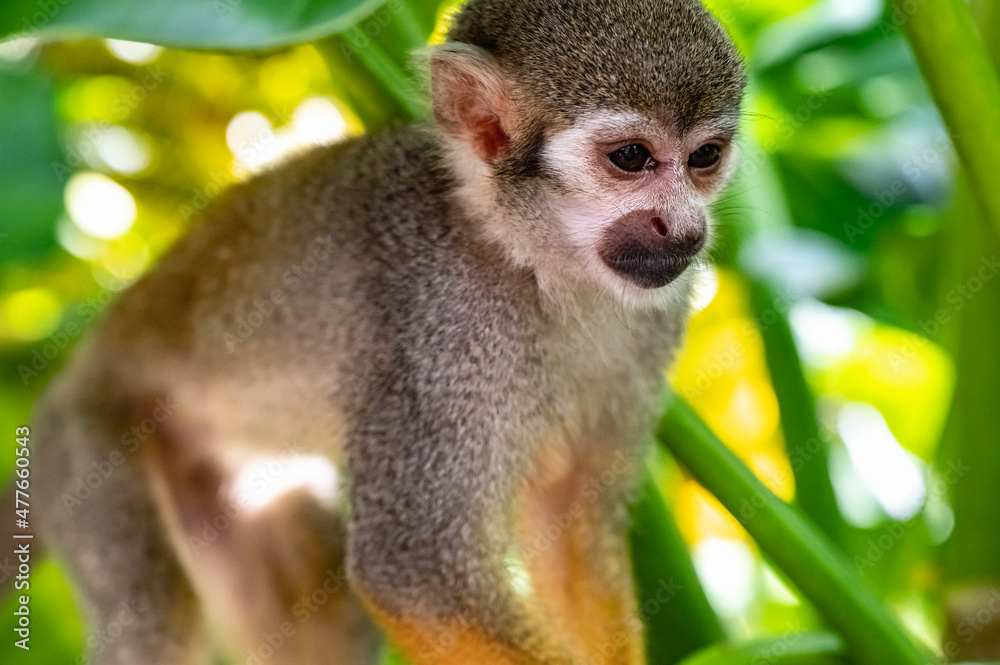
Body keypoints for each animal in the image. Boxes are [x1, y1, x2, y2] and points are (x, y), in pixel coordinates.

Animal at [30, 0, 745, 663]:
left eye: (705, 158)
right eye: (631, 158)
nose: (685, 228)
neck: (530, 259)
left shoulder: (658, 316)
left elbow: (569, 520)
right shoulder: (440, 330)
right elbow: (413, 571)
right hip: (88, 444)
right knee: (153, 623)